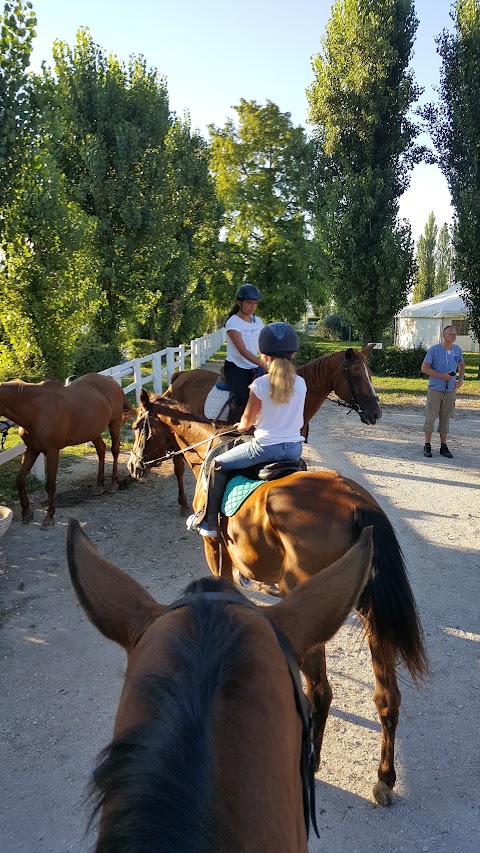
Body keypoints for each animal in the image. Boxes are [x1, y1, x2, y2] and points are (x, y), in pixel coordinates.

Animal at [0, 372, 132, 524]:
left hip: (114, 424)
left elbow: (50, 485)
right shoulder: (31, 449)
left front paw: (49, 517)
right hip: (92, 430)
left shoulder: (52, 451)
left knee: (115, 450)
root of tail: (111, 381)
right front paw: (26, 513)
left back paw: (113, 485)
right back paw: (99, 486)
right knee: (101, 450)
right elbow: (20, 480)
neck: (36, 410)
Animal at [126, 392, 428, 804]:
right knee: (387, 698)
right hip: (370, 615)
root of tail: (356, 503)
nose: (132, 465)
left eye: (138, 425)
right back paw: (384, 778)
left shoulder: (213, 547)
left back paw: (312, 761)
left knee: (320, 692)